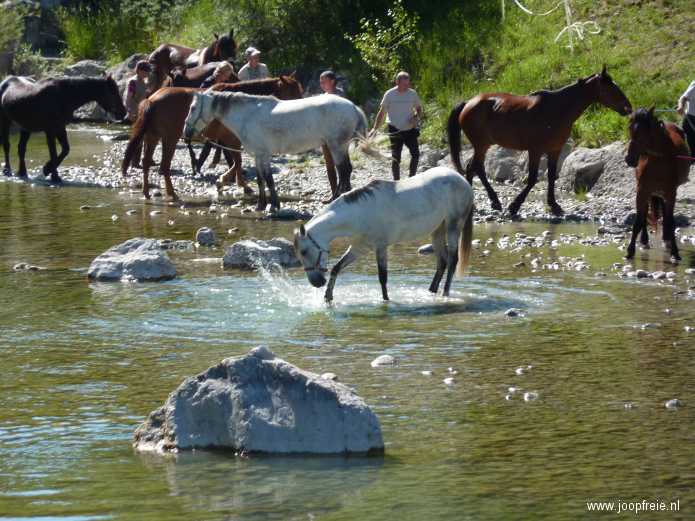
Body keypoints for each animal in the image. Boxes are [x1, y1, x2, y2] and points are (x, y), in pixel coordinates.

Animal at [121, 76, 303, 201]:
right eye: (292, 93)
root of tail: (151, 100)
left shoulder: (227, 140)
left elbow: (235, 161)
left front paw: (232, 182)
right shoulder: (232, 140)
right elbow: (237, 161)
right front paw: (235, 183)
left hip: (152, 137)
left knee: (146, 163)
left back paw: (146, 192)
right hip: (169, 139)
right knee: (165, 166)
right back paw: (172, 193)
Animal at [184, 92, 370, 211]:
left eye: (193, 108)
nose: (186, 132)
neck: (248, 115)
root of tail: (353, 107)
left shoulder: (263, 155)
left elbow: (268, 179)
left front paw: (273, 205)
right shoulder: (258, 155)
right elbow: (261, 180)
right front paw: (261, 205)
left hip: (336, 146)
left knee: (343, 171)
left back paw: (337, 198)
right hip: (340, 146)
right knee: (346, 170)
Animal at [293, 166, 474, 302]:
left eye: (304, 251)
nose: (316, 283)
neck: (358, 213)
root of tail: (462, 180)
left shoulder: (380, 247)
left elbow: (382, 277)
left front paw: (386, 301)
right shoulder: (359, 248)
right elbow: (337, 268)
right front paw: (328, 297)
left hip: (453, 226)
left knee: (452, 260)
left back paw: (445, 294)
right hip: (437, 230)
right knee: (442, 262)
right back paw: (431, 292)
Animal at [448, 65, 632, 216]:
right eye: (610, 88)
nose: (628, 107)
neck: (557, 109)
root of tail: (468, 103)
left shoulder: (554, 150)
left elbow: (551, 176)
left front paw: (554, 205)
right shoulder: (535, 150)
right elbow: (532, 179)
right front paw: (514, 206)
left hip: (483, 145)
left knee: (473, 168)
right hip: (481, 144)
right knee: (474, 168)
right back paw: (489, 202)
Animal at [624, 107, 691, 262]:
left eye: (644, 131)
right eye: (630, 128)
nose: (629, 159)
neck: (658, 159)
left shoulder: (671, 192)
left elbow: (670, 221)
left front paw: (675, 253)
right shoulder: (642, 191)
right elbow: (638, 220)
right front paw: (630, 251)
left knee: (665, 215)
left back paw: (666, 240)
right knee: (646, 214)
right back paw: (644, 241)